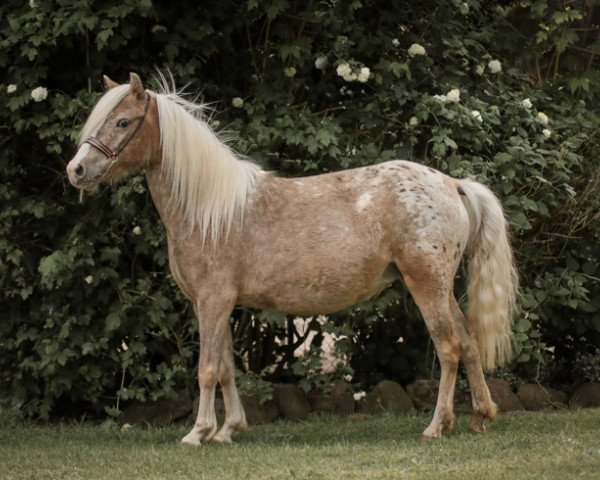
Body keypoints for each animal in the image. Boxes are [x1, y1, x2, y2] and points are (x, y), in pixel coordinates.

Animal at [64, 73, 516, 444]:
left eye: (123, 122)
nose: (76, 170)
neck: (211, 211)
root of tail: (452, 183)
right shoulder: (218, 305)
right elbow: (227, 367)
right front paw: (229, 430)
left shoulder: (212, 301)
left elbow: (207, 368)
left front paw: (198, 432)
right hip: (440, 288)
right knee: (469, 341)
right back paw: (480, 417)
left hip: (426, 285)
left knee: (450, 347)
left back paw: (436, 426)